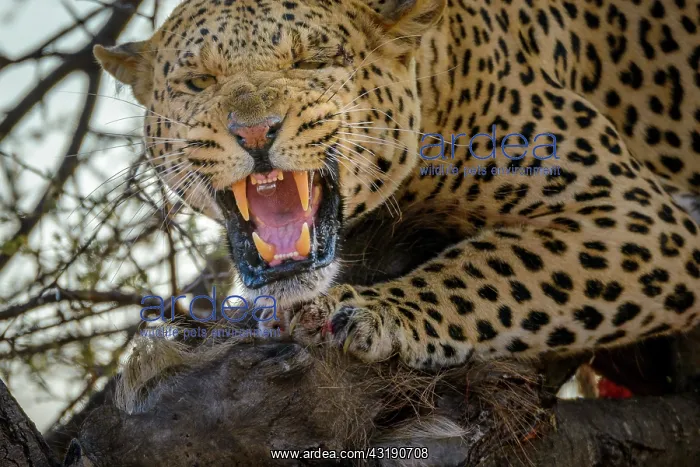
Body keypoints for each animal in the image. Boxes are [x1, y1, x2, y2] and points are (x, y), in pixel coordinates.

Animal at [94, 0, 700, 370]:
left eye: (311, 61)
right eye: (199, 81)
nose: (255, 130)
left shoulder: (633, 213)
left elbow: (492, 269)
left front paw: (368, 312)